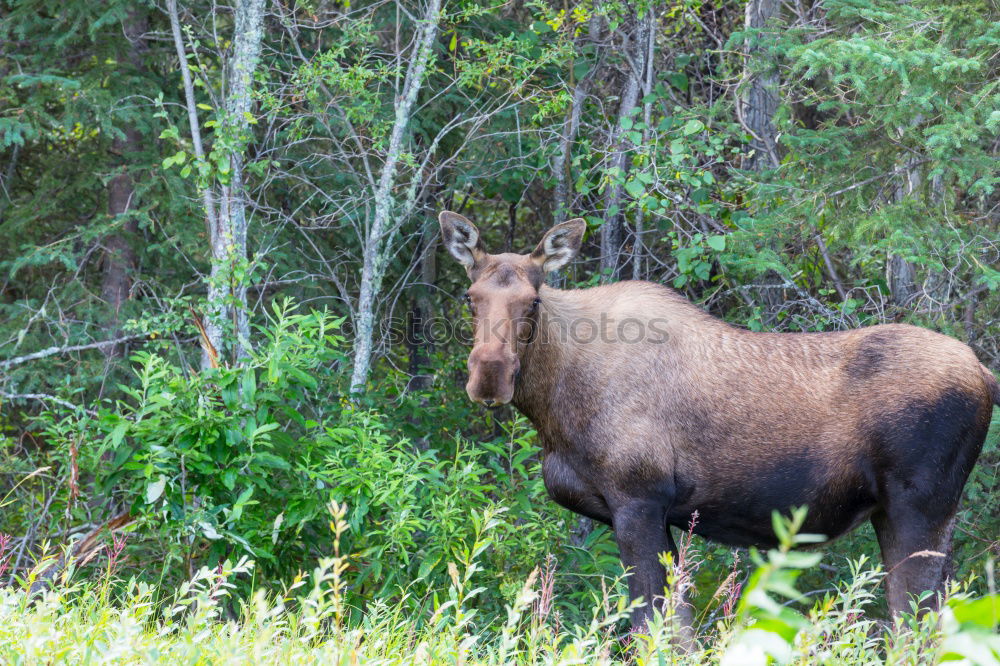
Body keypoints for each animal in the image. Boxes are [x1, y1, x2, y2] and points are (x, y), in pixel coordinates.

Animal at [440, 209, 1000, 632]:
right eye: (470, 298)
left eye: (533, 301)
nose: (490, 376)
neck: (554, 408)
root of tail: (985, 376)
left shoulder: (638, 499)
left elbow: (659, 629)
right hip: (917, 512)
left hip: (919, 506)